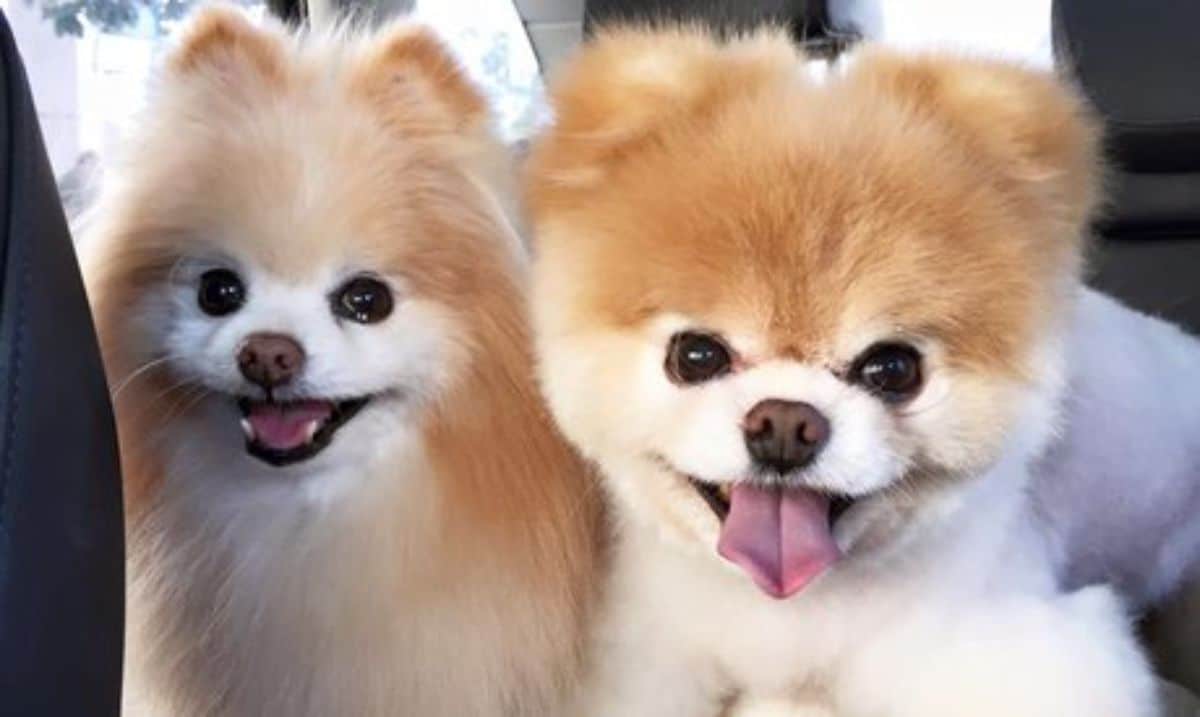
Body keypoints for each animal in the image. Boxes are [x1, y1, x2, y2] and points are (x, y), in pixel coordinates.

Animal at [528, 25, 1161, 714]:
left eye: (893, 368)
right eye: (695, 355)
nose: (783, 423)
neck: (784, 614)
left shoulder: (1016, 651)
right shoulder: (641, 652)